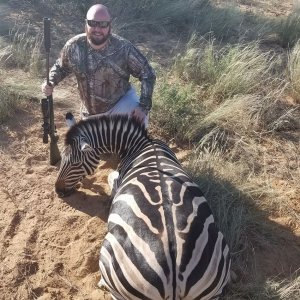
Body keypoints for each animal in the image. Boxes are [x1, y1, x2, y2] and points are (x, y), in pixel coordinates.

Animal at [55, 115, 231, 300]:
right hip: (218, 266)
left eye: (76, 164)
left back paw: (102, 282)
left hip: (111, 257)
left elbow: (110, 178)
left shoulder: (117, 180)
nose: (57, 190)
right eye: (62, 159)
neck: (141, 144)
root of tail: (175, 273)